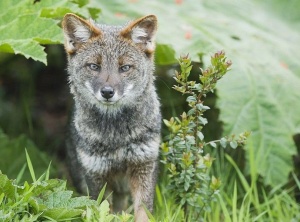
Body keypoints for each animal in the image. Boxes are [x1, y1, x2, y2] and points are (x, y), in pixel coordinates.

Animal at [61, 13, 162, 221]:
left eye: (125, 68)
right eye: (94, 66)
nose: (107, 92)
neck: (117, 137)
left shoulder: (144, 166)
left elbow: (143, 211)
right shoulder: (96, 174)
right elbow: (102, 210)